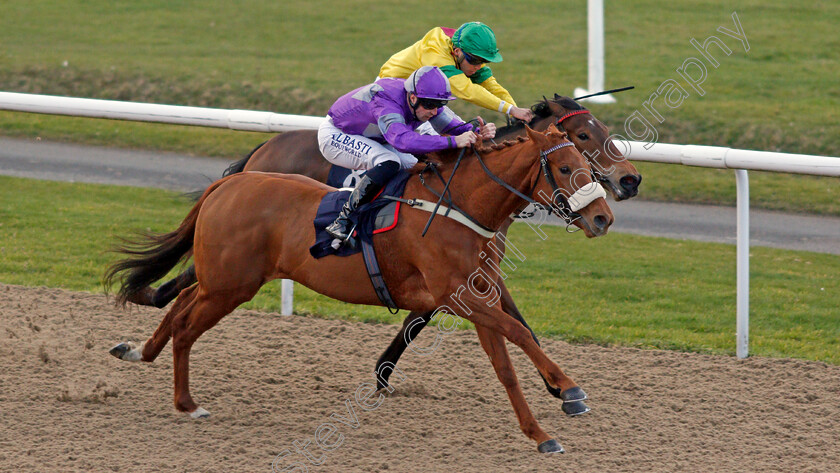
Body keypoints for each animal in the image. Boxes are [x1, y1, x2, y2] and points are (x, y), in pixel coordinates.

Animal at [106, 123, 612, 452]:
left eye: (584, 163)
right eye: (564, 167)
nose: (603, 217)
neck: (461, 207)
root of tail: (229, 184)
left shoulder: (478, 296)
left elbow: (506, 363)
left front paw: (541, 433)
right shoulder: (460, 298)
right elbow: (521, 333)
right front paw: (569, 390)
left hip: (223, 281)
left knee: (179, 305)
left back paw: (139, 352)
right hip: (230, 287)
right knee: (186, 327)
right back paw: (187, 403)